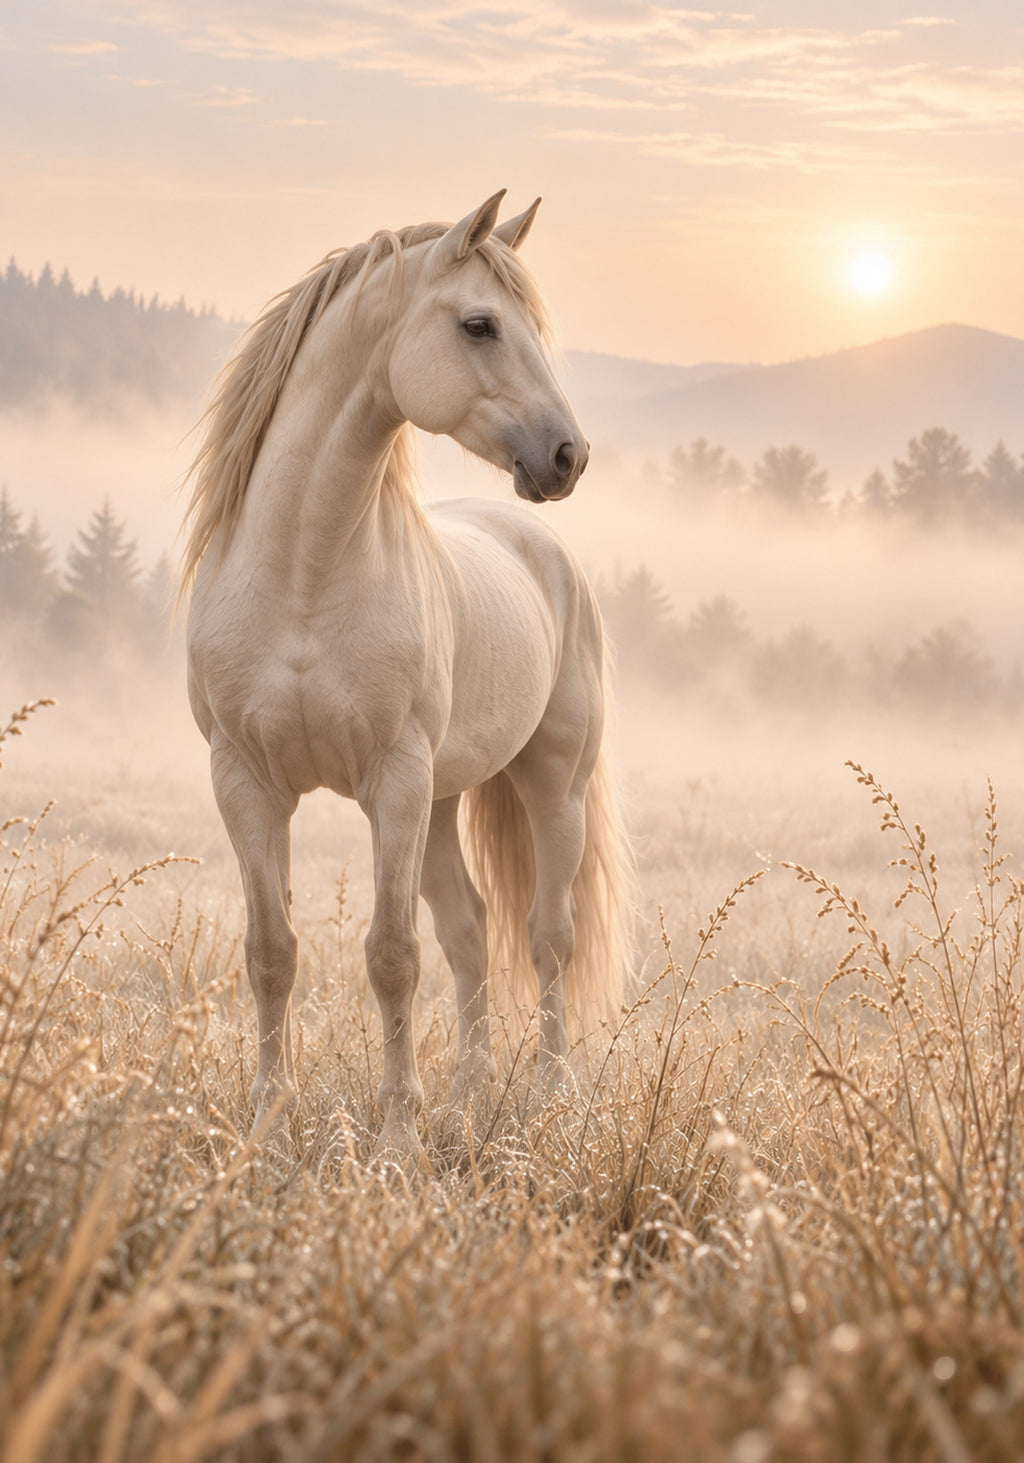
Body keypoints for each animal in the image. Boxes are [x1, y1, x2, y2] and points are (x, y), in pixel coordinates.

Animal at [181, 190, 631, 1156]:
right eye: (479, 324)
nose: (568, 456)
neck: (304, 576)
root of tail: (541, 546)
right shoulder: (246, 782)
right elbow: (271, 952)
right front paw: (267, 1124)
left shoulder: (392, 779)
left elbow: (392, 956)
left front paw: (393, 1139)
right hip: (443, 802)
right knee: (470, 932)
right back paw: (464, 1096)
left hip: (549, 788)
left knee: (547, 937)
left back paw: (551, 1098)